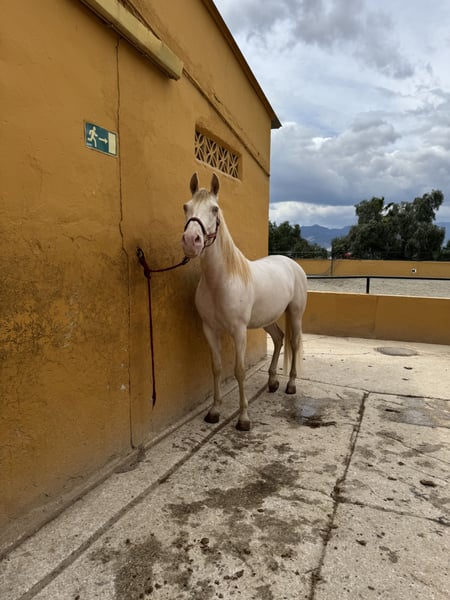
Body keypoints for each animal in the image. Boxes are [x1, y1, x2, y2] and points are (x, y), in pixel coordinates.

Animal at [181, 172, 308, 431]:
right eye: (186, 207)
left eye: (215, 209)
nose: (191, 241)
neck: (222, 280)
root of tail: (292, 264)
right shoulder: (210, 329)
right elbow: (217, 368)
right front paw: (214, 411)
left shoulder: (239, 331)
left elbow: (239, 371)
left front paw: (243, 418)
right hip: (267, 319)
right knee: (279, 339)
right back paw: (272, 382)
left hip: (295, 314)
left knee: (294, 343)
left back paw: (290, 385)